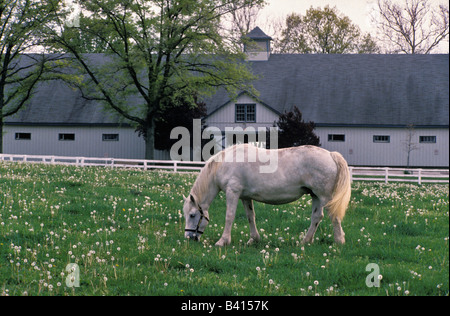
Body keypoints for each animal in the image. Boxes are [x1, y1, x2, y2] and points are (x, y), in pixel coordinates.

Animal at [183, 144, 352, 247]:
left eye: (192, 215)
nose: (189, 237)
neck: (225, 162)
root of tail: (331, 155)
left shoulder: (233, 192)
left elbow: (229, 216)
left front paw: (223, 241)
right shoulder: (245, 197)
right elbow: (250, 216)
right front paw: (254, 239)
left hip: (325, 197)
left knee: (334, 217)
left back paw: (339, 241)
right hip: (315, 196)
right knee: (317, 217)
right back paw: (305, 241)